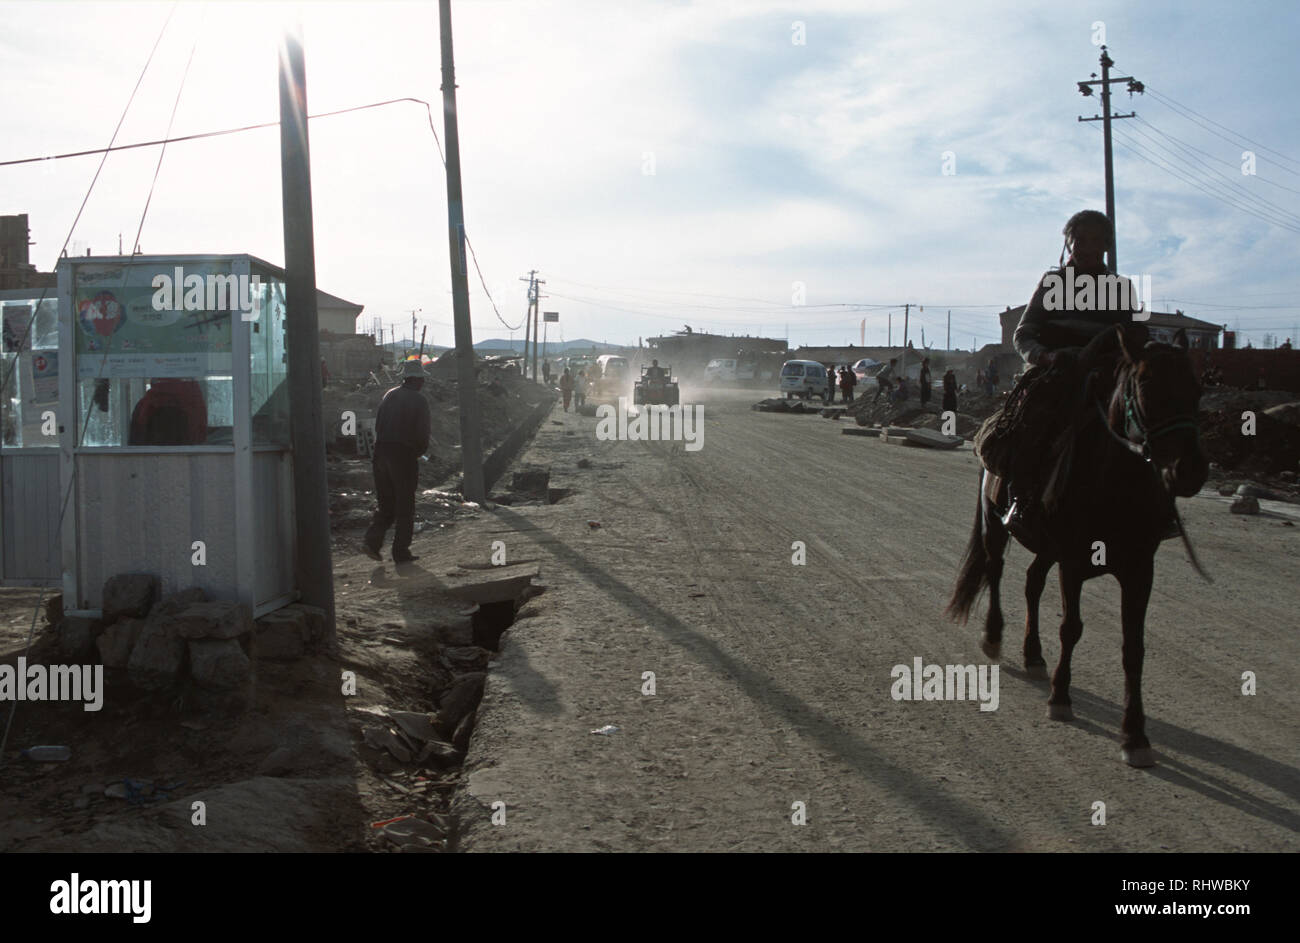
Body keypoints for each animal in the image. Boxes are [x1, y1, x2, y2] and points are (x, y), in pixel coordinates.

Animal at [946, 323, 1206, 764]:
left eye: (1196, 386)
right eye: (1145, 385)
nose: (1190, 471)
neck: (1116, 486)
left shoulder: (1140, 570)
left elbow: (1133, 647)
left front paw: (1135, 736)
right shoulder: (1072, 562)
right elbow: (1071, 627)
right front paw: (1060, 698)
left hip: (1046, 549)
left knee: (1032, 582)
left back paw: (1033, 654)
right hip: (996, 526)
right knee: (996, 571)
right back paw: (994, 637)